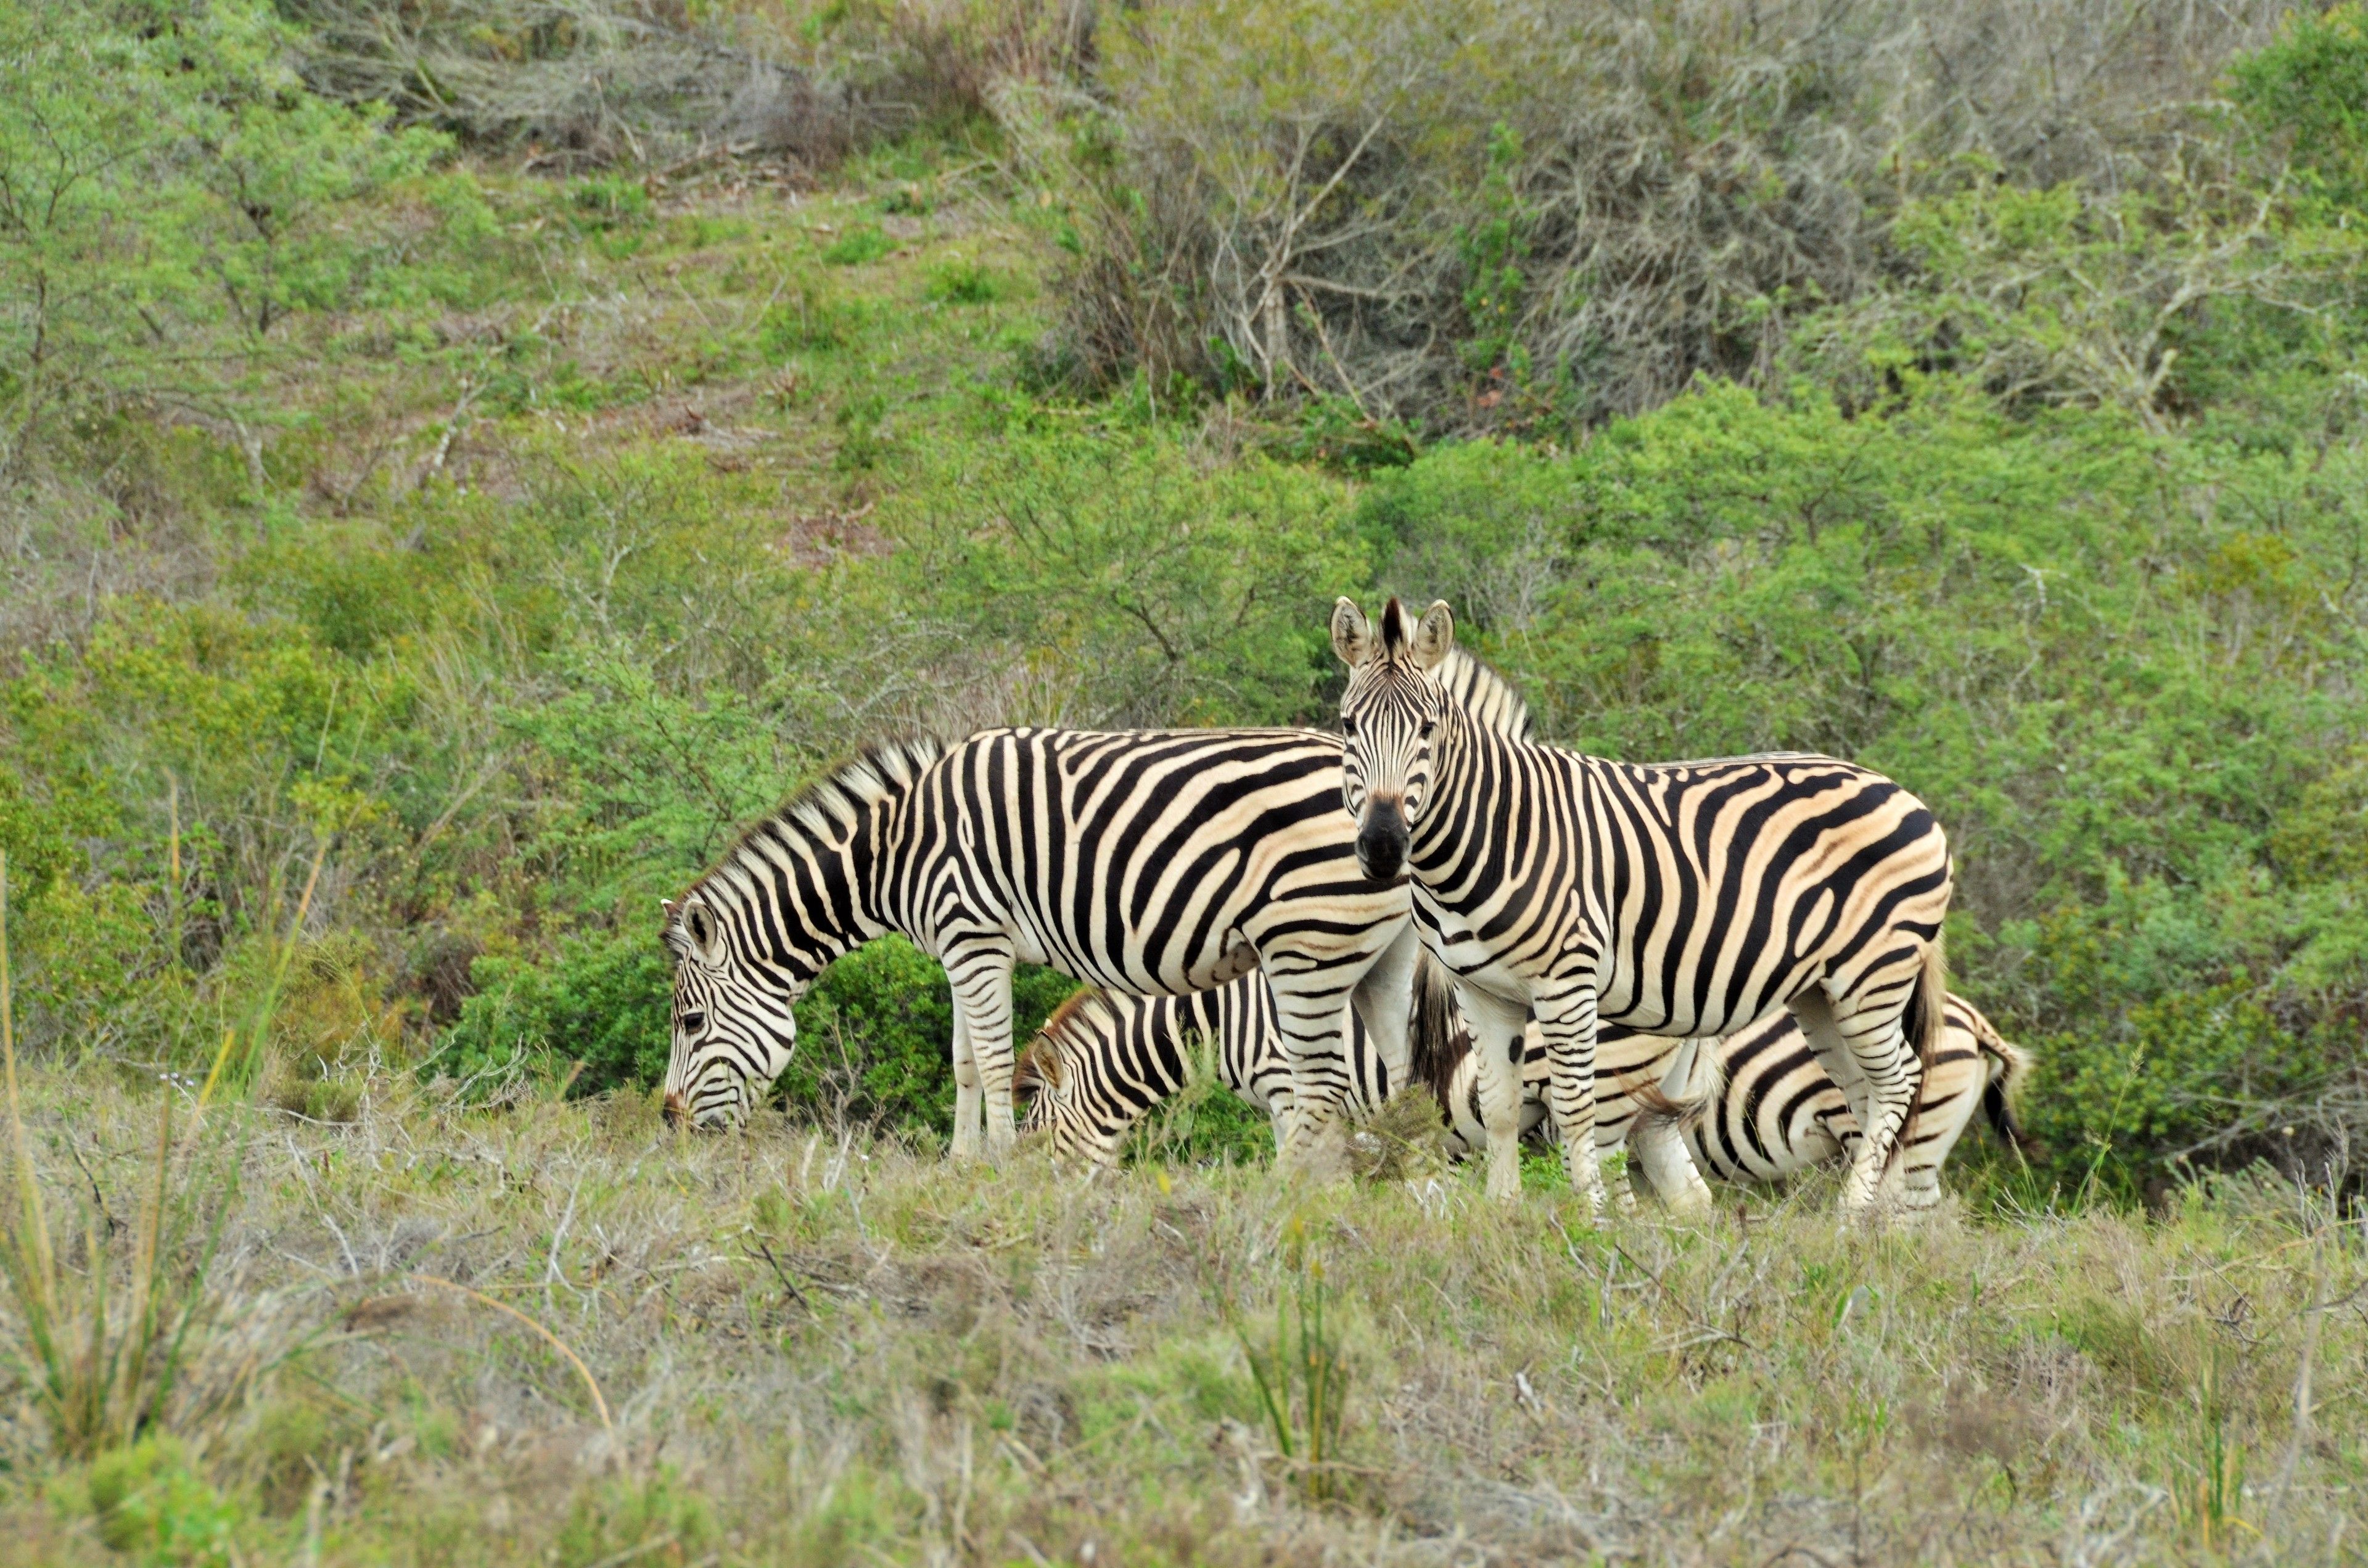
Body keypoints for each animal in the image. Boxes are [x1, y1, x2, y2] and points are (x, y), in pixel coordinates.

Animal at [660, 648, 1532, 1170]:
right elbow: (964, 1060)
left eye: (690, 1022)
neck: (902, 844)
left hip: (1310, 945)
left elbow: (991, 1058)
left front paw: (998, 1168)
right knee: (1399, 1076)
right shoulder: (957, 946)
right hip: (1377, 950)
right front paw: (960, 1166)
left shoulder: (976, 936)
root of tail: (1397, 800)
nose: (668, 1124)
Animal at [1330, 596, 1955, 1217]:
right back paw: (1874, 1220)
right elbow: (1499, 1108)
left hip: (1871, 975)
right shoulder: (1482, 989)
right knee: (1865, 1091)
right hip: (1821, 991)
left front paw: (1591, 1221)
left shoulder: (1567, 983)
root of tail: (1906, 795)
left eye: (1427, 729)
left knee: (1899, 1081)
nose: (1383, 846)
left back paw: (1851, 1219)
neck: (1497, 831)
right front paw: (1504, 1215)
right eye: (1347, 725)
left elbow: (1577, 1111)